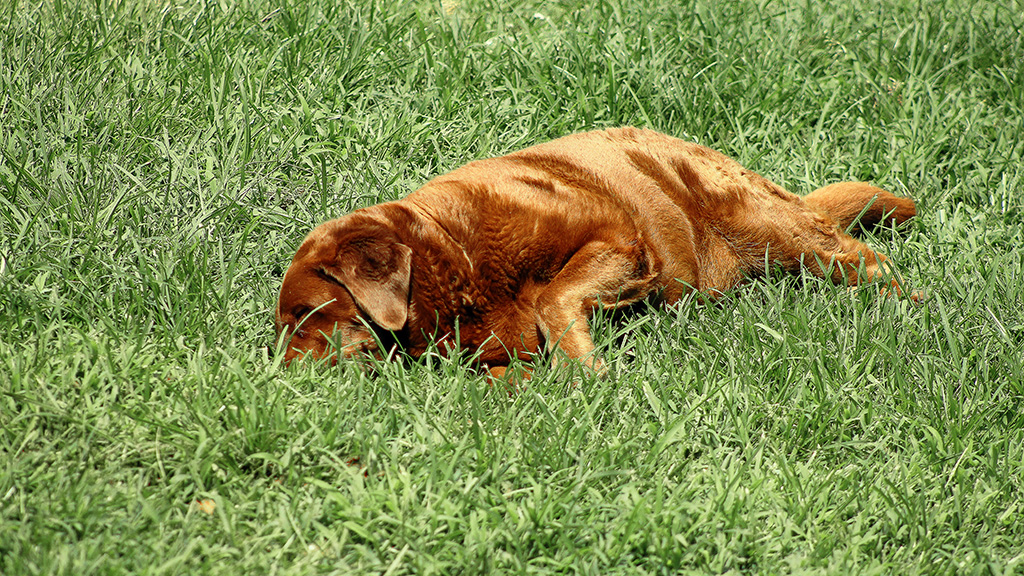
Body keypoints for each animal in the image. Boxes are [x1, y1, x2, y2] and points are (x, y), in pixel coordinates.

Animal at [276, 127, 917, 375]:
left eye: (306, 316)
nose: (281, 378)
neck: (453, 259)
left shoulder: (617, 238)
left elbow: (553, 298)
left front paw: (585, 371)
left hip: (759, 218)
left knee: (857, 255)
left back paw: (908, 307)